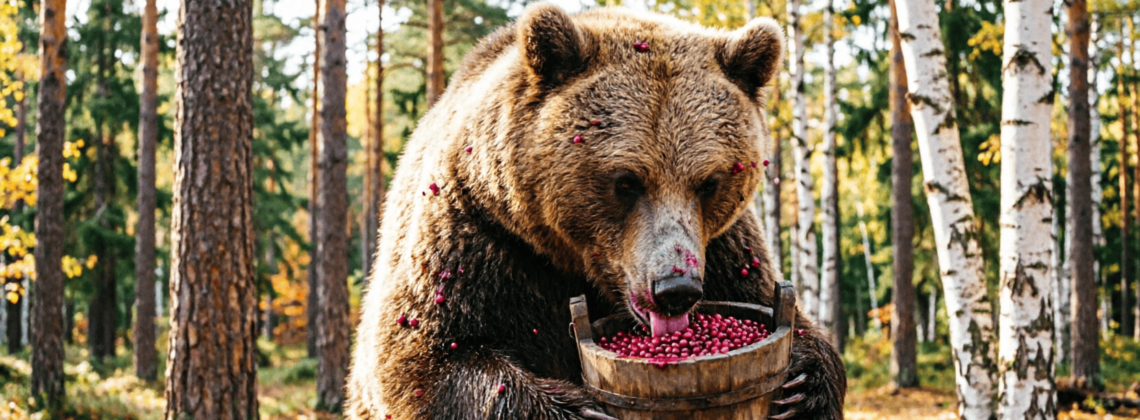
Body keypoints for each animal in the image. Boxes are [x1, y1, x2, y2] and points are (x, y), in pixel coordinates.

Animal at [345, 4, 846, 419]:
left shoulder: (728, 248)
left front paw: (802, 379)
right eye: (627, 181)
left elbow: (794, 326)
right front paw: (579, 409)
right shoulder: (472, 236)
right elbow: (423, 362)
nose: (675, 288)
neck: (562, 258)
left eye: (709, 182)